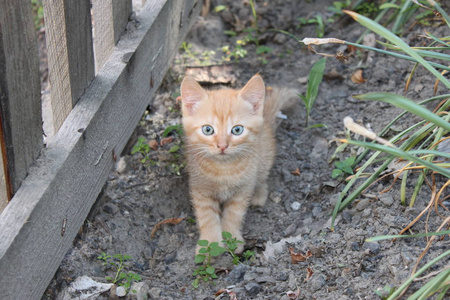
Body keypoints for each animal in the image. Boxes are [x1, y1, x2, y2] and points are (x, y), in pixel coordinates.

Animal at [181, 75, 294, 253]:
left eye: (237, 130)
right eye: (208, 130)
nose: (222, 146)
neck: (224, 169)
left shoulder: (243, 190)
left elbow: (234, 214)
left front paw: (232, 239)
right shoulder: (200, 189)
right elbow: (207, 216)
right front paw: (211, 244)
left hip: (263, 158)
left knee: (262, 178)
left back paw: (259, 194)